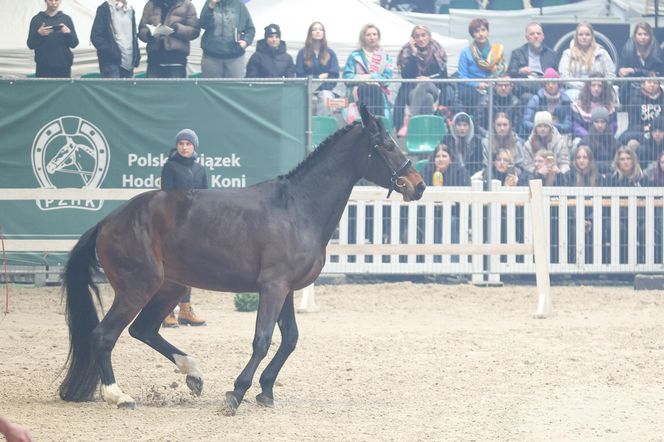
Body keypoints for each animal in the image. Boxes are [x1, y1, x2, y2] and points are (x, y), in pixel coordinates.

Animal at [58, 106, 426, 414]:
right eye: (385, 145)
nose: (419, 185)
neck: (298, 207)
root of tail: (108, 221)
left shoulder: (286, 290)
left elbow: (290, 339)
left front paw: (266, 390)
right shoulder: (273, 287)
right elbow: (262, 340)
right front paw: (237, 392)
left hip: (169, 288)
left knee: (143, 329)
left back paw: (193, 374)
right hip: (138, 287)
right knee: (105, 335)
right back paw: (118, 395)